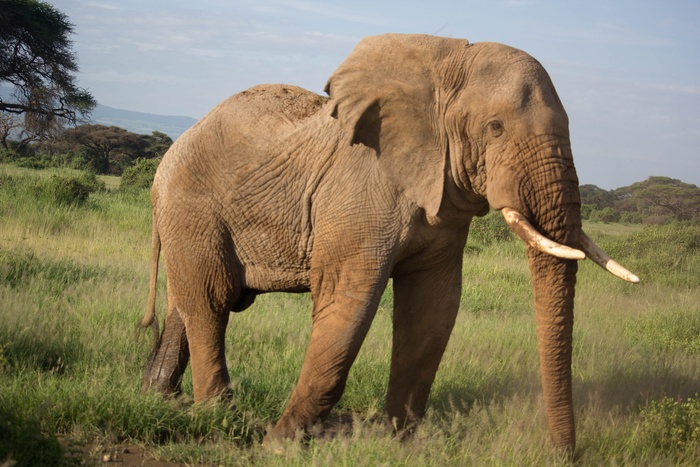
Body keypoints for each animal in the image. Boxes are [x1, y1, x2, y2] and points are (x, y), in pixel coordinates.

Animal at [139, 33, 636, 454]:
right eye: (495, 127)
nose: (563, 454)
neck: (443, 66)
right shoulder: (359, 192)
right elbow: (350, 302)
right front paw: (277, 446)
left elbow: (433, 310)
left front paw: (398, 443)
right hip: (192, 209)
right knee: (211, 300)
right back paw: (220, 418)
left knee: (188, 303)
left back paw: (157, 397)